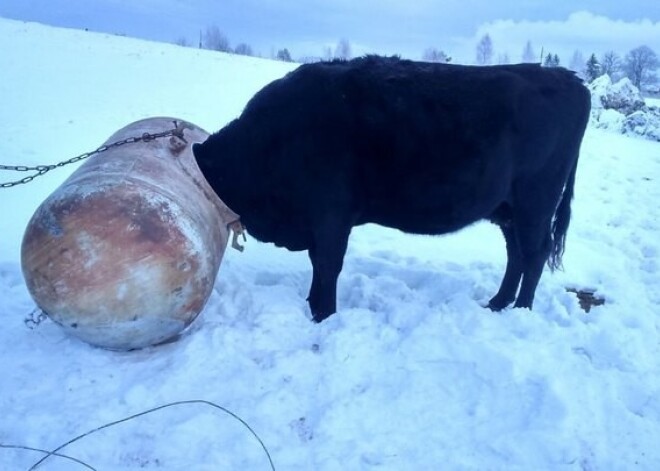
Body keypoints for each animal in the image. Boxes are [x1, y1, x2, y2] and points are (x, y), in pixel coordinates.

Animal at [193, 54, 592, 320]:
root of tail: (568, 78)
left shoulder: (331, 214)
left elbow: (328, 263)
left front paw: (324, 314)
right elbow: (319, 262)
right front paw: (313, 305)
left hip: (535, 201)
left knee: (535, 253)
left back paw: (521, 309)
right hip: (506, 208)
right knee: (517, 254)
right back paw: (496, 303)